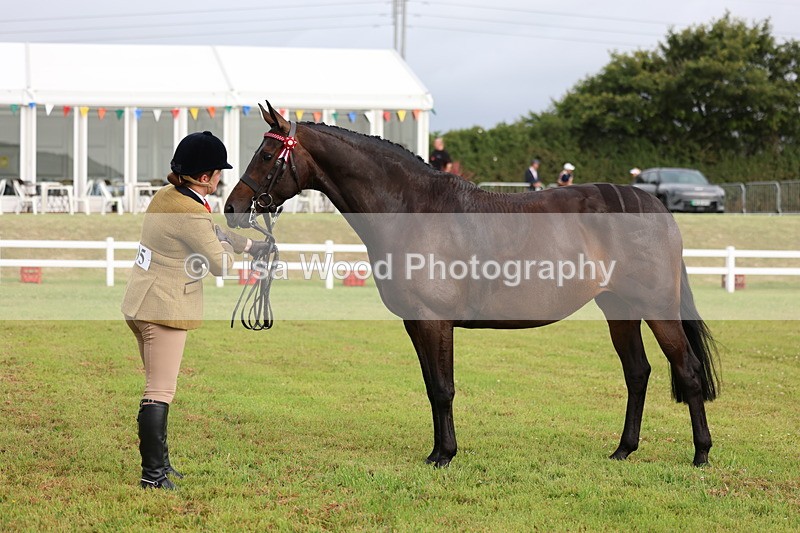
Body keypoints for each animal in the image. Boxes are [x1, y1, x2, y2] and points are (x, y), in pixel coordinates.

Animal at [224, 101, 719, 467]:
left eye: (265, 155)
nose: (232, 206)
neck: (413, 209)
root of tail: (655, 206)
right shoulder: (416, 323)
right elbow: (431, 386)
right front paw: (437, 451)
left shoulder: (435, 321)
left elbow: (444, 387)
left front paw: (445, 455)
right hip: (618, 309)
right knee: (637, 373)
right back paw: (623, 450)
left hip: (656, 308)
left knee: (688, 370)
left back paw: (700, 454)